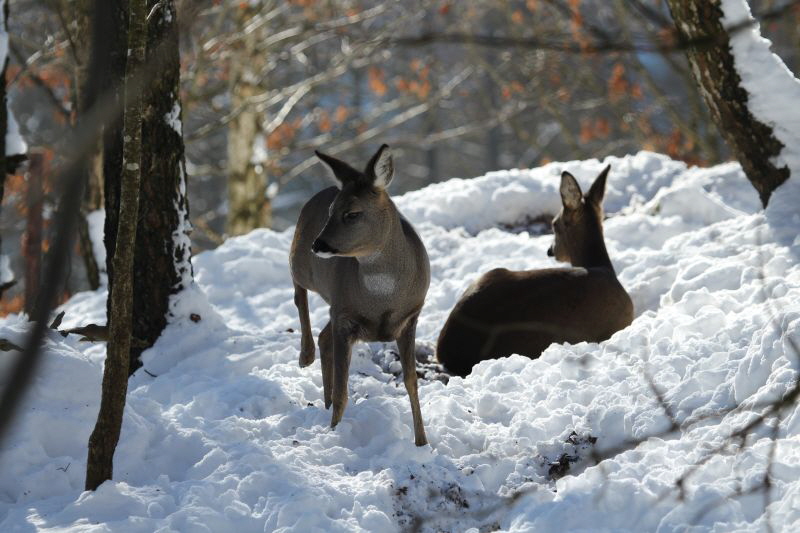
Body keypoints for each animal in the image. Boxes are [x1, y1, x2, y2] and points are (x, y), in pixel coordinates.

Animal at [290, 142, 432, 444]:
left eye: (353, 213)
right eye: (332, 210)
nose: (318, 244)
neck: (382, 300)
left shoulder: (411, 316)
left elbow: (411, 383)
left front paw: (422, 442)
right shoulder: (344, 316)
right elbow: (343, 390)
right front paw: (334, 433)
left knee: (324, 336)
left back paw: (325, 403)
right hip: (300, 261)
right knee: (298, 292)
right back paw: (305, 356)